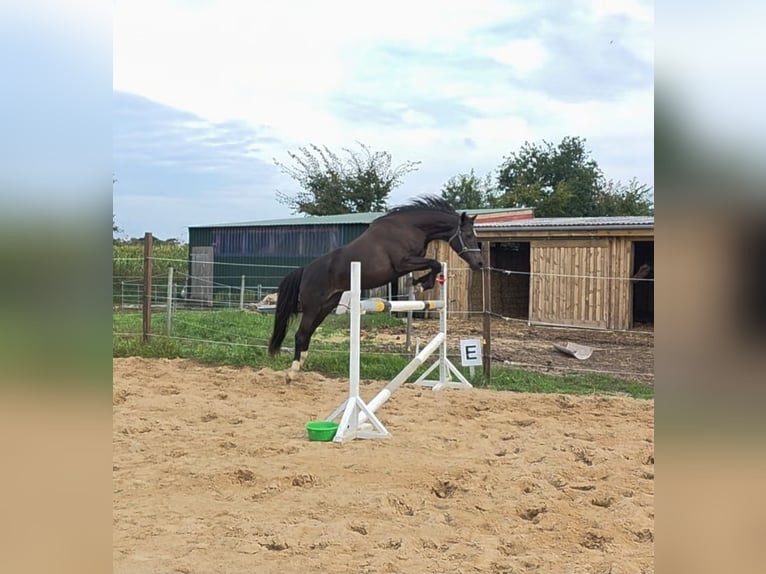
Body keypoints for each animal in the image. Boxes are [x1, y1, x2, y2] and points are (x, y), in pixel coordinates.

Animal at [268, 195, 485, 376]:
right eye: (468, 235)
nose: (479, 264)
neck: (411, 227)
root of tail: (306, 270)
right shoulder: (403, 263)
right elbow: (435, 263)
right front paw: (422, 284)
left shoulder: (408, 263)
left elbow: (435, 265)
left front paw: (418, 283)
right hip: (313, 307)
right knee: (301, 334)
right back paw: (292, 372)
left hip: (325, 306)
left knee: (307, 334)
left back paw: (300, 365)